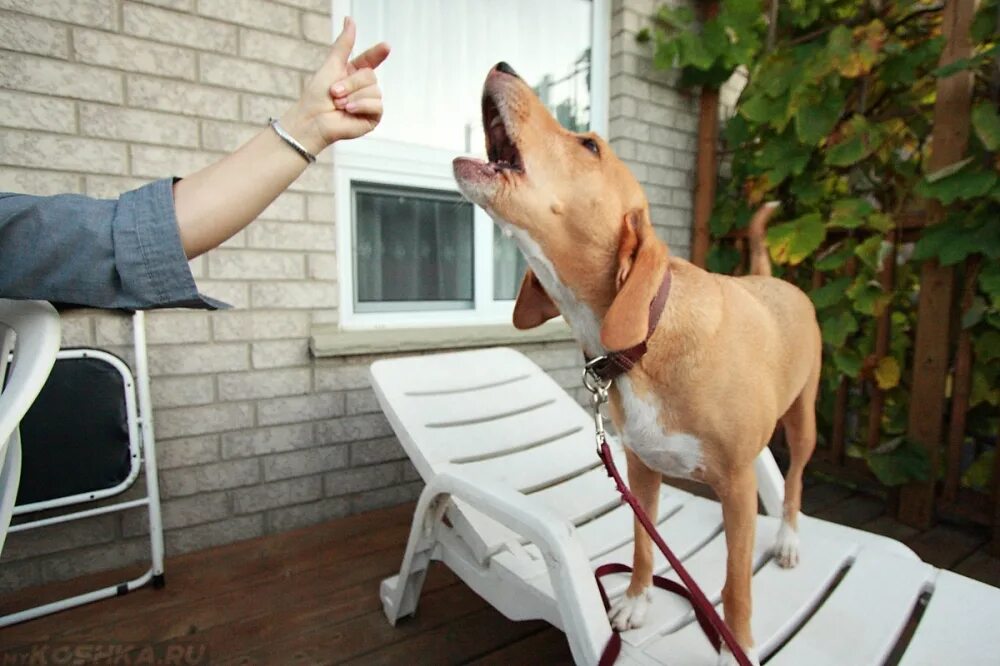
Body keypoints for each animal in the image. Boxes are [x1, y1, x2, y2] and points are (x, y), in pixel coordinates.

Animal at [454, 63, 820, 664]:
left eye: (590, 145)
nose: (503, 67)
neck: (648, 337)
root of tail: (775, 280)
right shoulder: (642, 470)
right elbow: (644, 543)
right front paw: (638, 599)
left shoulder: (738, 486)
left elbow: (737, 582)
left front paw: (736, 642)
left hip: (803, 420)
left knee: (792, 482)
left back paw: (789, 537)